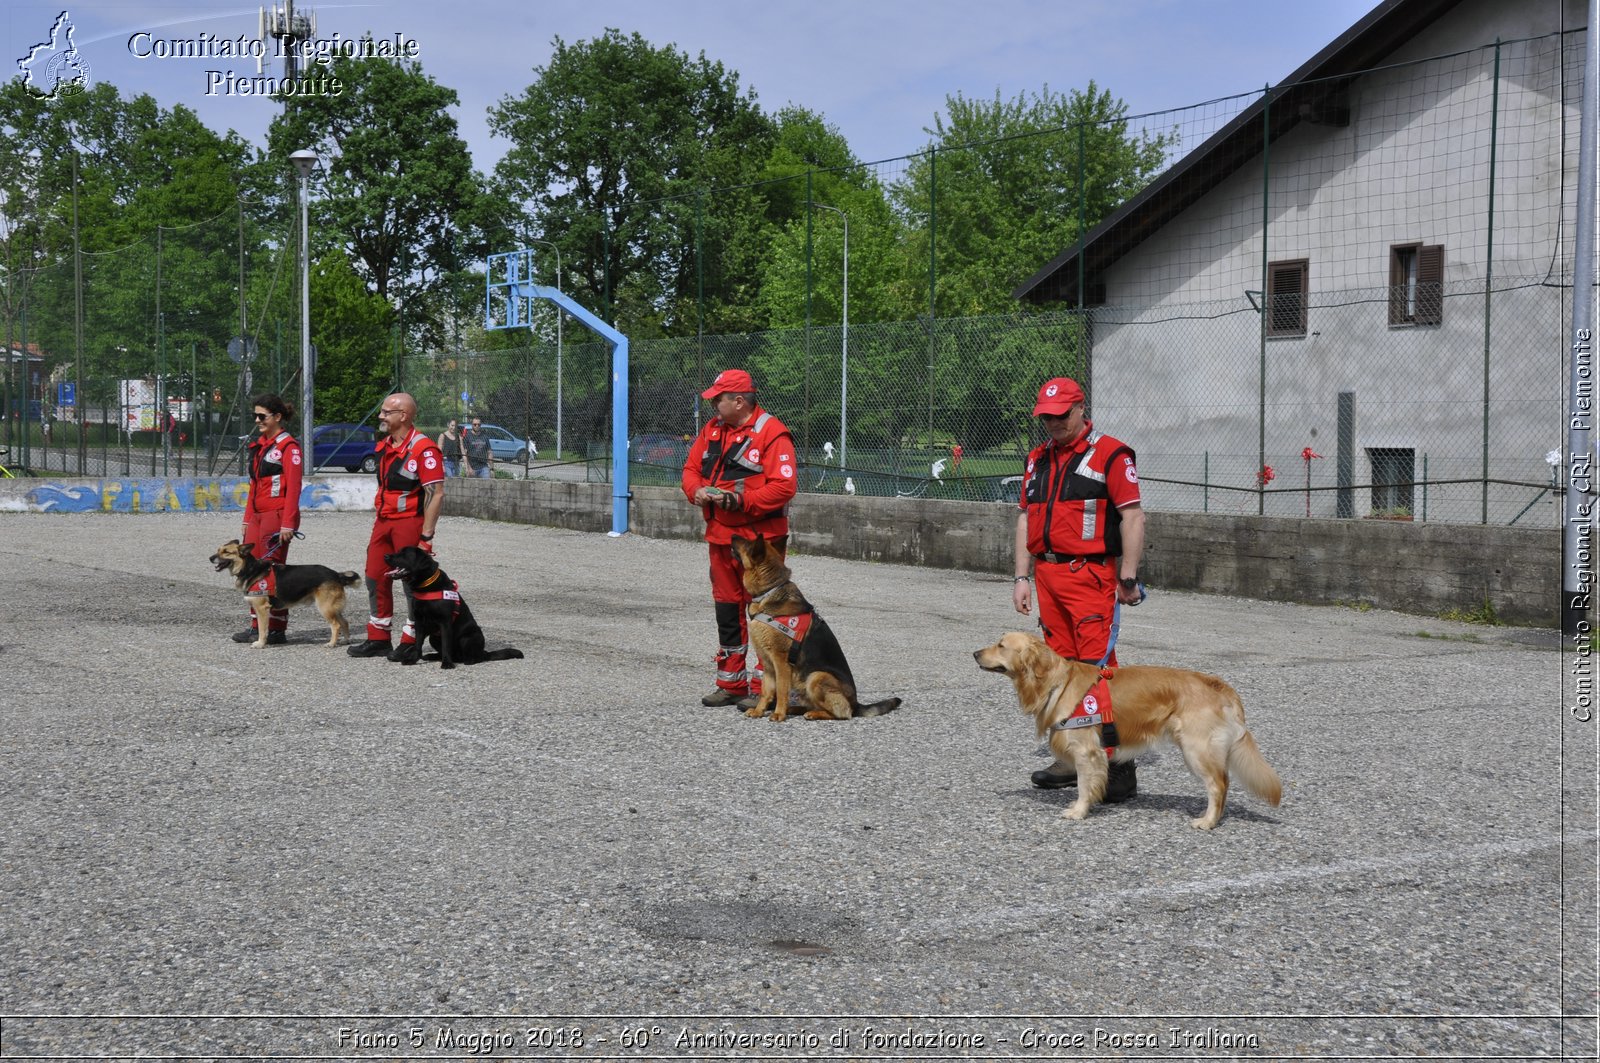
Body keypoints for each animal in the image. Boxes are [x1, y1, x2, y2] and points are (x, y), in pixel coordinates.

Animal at [966, 630, 1280, 832]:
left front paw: (1078, 811)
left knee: (1219, 784)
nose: (974, 653)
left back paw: (1208, 821)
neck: (1057, 682)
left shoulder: (1087, 751)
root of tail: (1219, 684)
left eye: (1001, 645)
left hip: (1197, 748)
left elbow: (1084, 785)